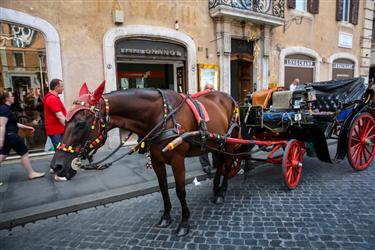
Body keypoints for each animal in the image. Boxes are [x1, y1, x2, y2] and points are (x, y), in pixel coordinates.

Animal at [51, 81, 242, 235]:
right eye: (65, 120)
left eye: (80, 123)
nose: (57, 166)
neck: (161, 116)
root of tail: (230, 97)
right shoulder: (157, 161)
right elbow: (163, 189)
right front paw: (166, 217)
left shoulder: (177, 160)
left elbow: (180, 191)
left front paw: (184, 222)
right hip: (216, 143)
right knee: (221, 163)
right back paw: (216, 189)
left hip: (230, 141)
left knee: (227, 164)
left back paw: (222, 191)